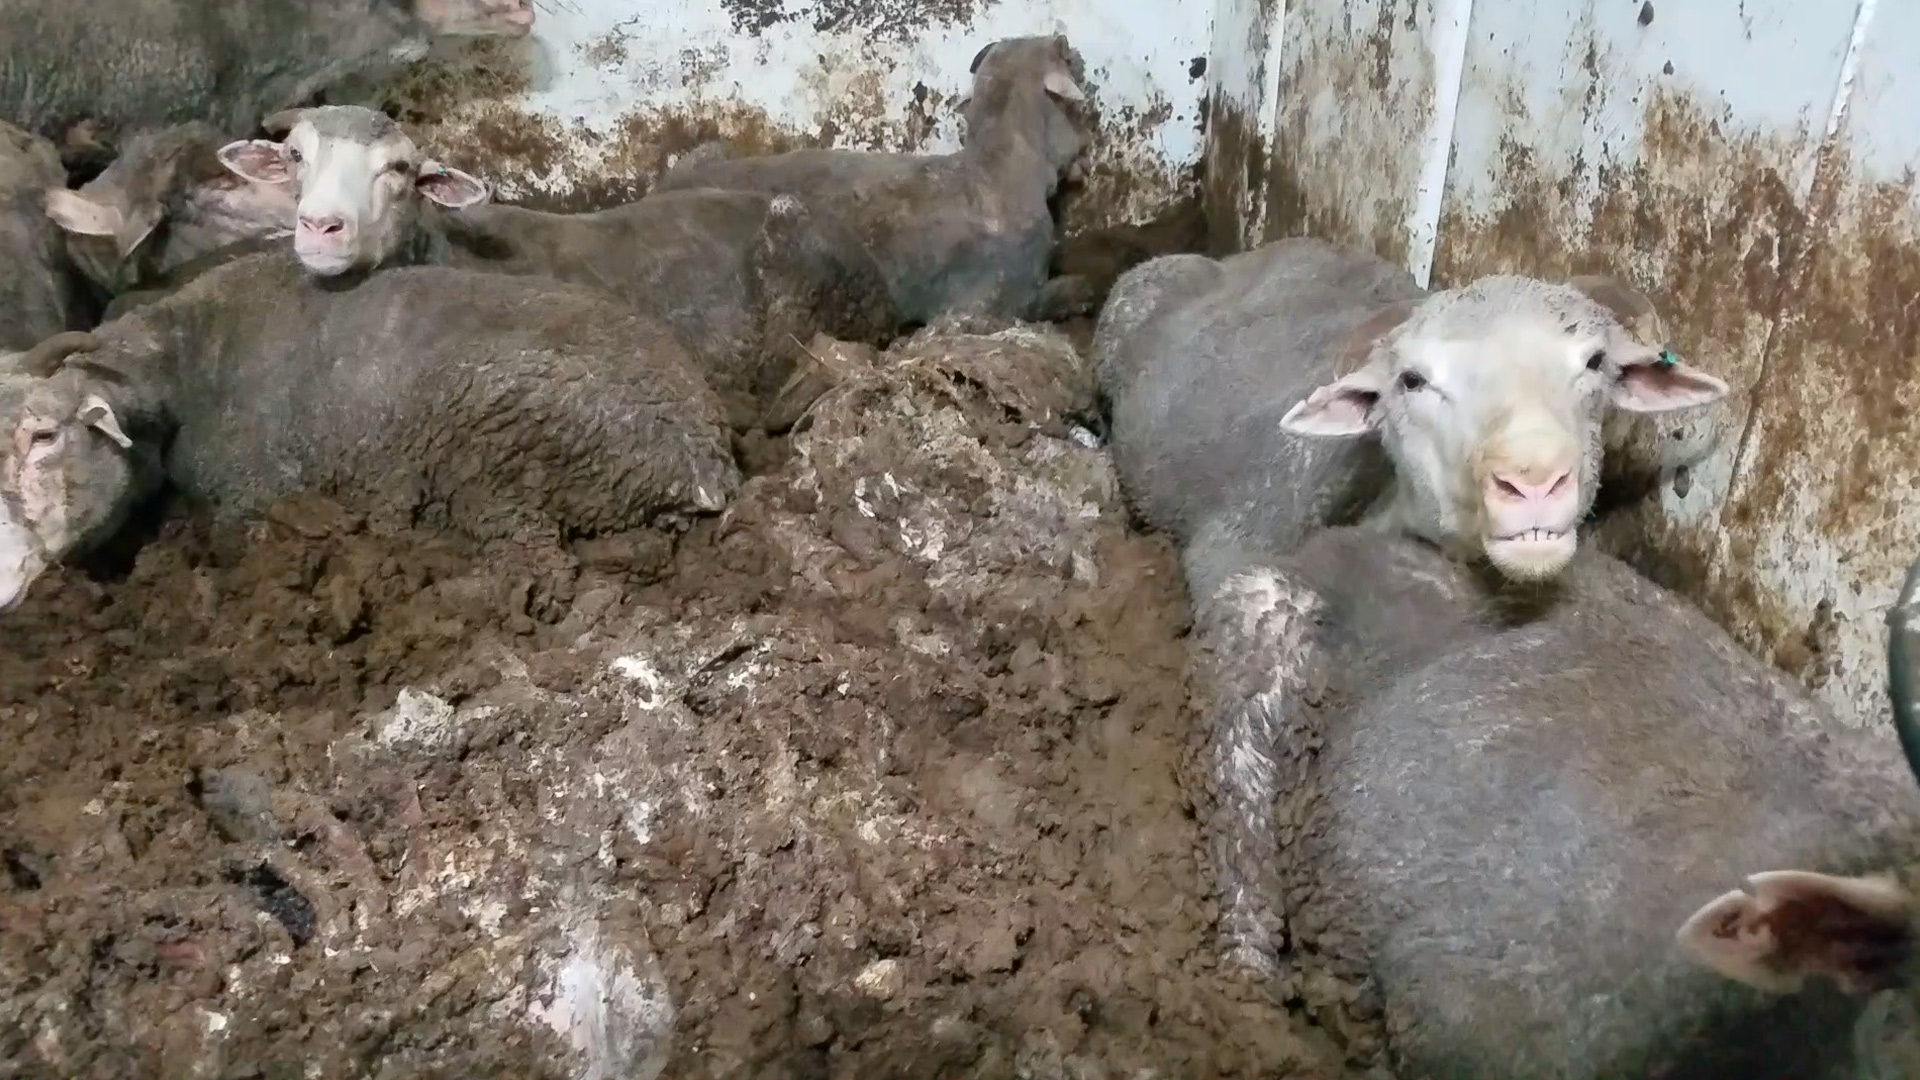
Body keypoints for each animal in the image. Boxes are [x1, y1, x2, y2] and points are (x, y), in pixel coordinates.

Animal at [0, 247, 741, 611]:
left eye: (45, 436)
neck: (186, 361)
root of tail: (699, 457)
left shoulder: (254, 498)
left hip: (495, 455)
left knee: (538, 568)